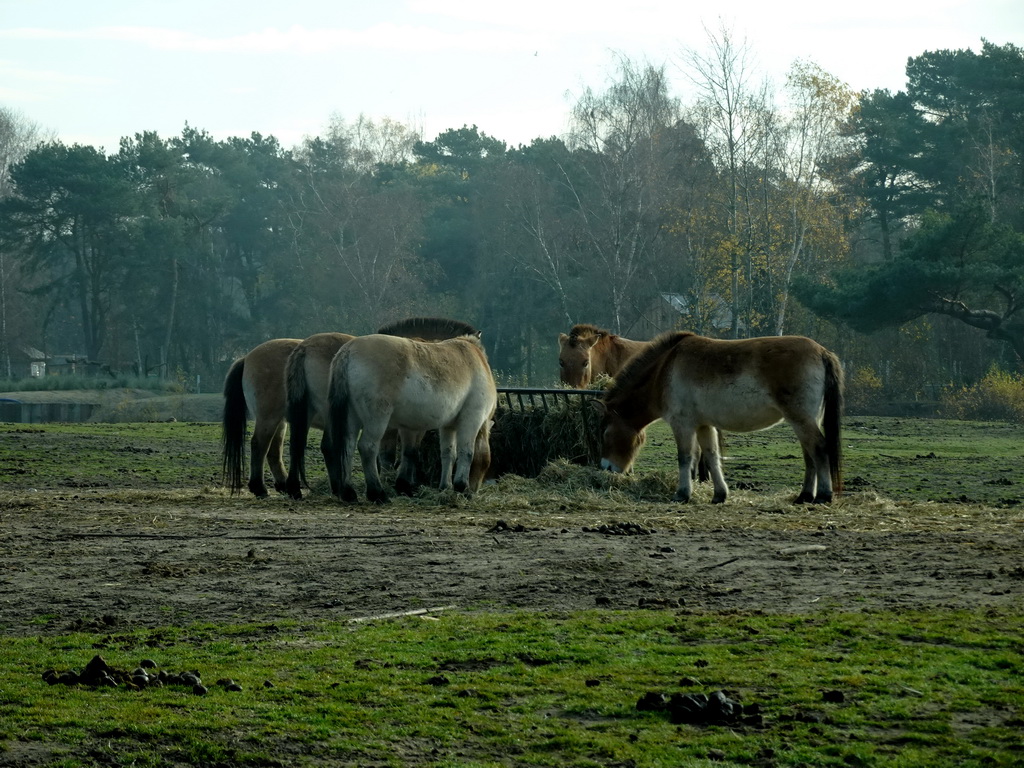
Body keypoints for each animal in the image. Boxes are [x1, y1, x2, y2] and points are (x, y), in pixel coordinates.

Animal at [284, 317, 483, 501]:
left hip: (309, 412)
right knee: (334, 446)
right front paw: (403, 485)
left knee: (299, 443)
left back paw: (300, 489)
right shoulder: (413, 425)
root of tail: (305, 347)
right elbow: (406, 453)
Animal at [598, 331, 843, 505]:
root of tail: (822, 352)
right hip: (805, 420)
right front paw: (719, 494)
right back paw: (804, 496)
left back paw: (823, 495)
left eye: (606, 434)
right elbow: (712, 456)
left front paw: (682, 494)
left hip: (801, 419)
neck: (664, 370)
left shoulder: (683, 424)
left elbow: (685, 458)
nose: (606, 467)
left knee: (819, 448)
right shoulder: (704, 425)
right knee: (809, 455)